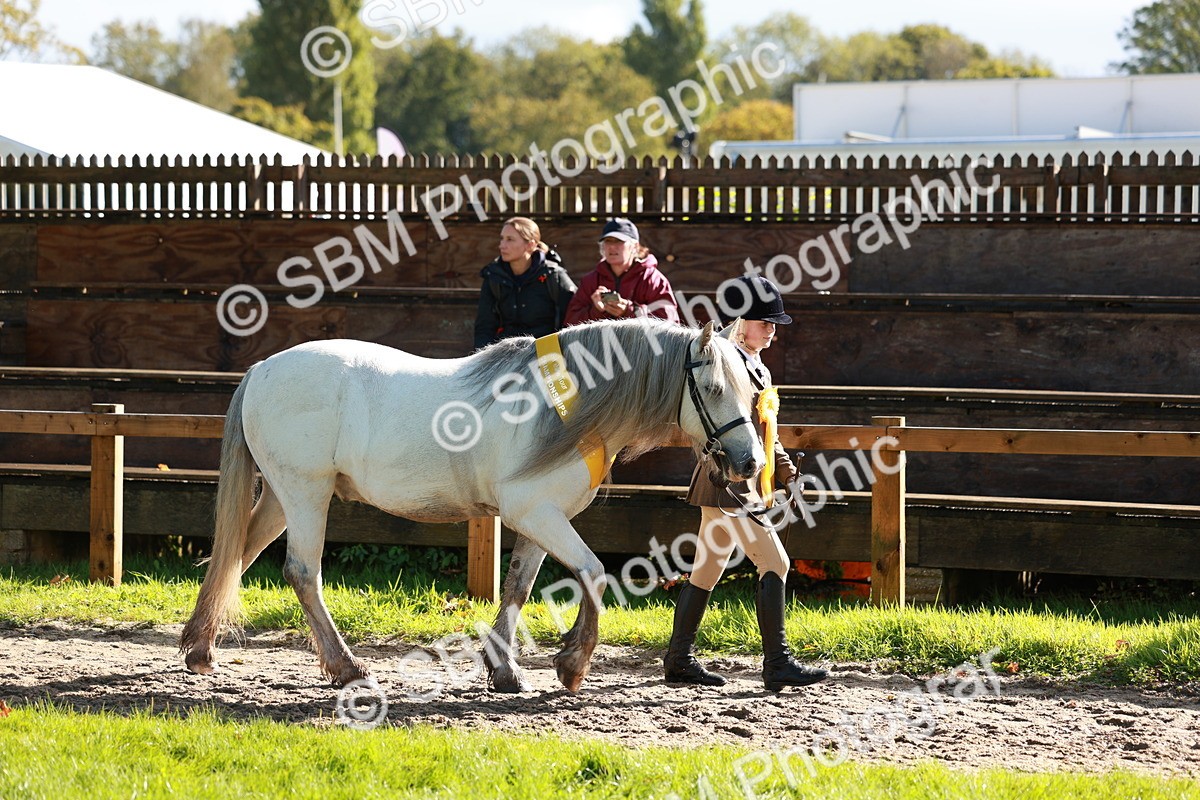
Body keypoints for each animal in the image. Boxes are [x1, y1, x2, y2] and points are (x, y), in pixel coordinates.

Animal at [180, 318, 765, 693]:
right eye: (714, 387)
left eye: (752, 389)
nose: (750, 462)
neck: (566, 407)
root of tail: (261, 369)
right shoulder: (537, 514)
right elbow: (594, 571)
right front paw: (572, 664)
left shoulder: (538, 518)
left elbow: (518, 587)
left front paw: (505, 672)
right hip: (306, 492)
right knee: (302, 571)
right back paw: (348, 669)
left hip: (283, 496)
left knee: (237, 555)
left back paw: (200, 649)